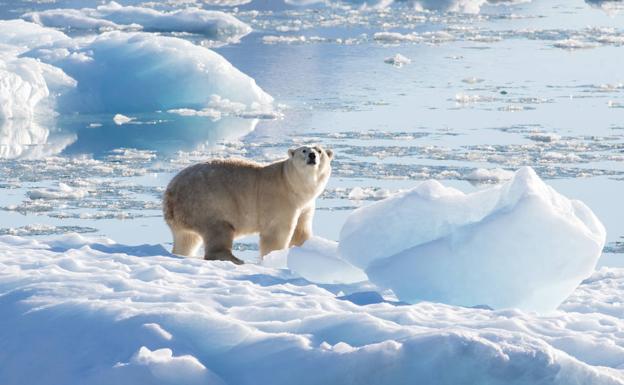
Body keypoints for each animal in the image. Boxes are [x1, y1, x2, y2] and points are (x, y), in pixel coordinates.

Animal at [163, 145, 334, 264]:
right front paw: (275, 257)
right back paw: (235, 259)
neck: (291, 184)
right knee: (219, 230)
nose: (312, 155)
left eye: (319, 150)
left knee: (186, 238)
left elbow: (301, 231)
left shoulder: (306, 205)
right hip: (207, 203)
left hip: (186, 214)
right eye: (303, 150)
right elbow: (276, 233)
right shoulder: (280, 200)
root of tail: (170, 193)